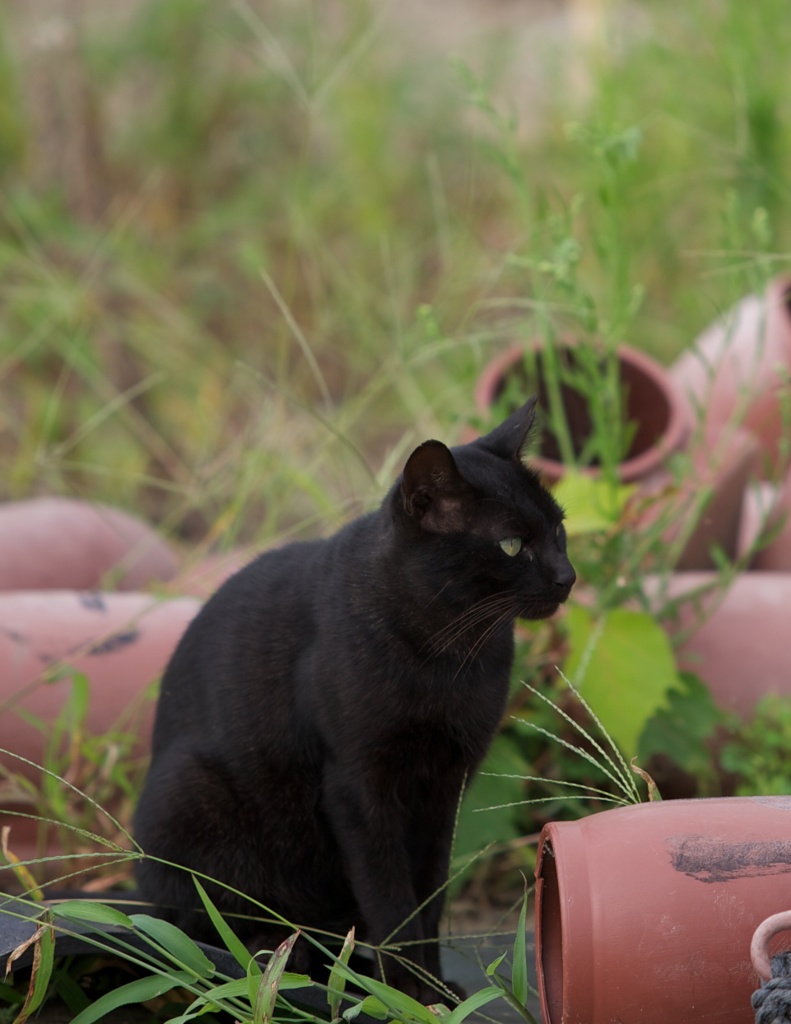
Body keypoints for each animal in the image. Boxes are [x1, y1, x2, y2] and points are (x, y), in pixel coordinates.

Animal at [134, 397, 573, 999]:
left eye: (560, 528)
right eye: (511, 544)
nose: (568, 576)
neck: (448, 658)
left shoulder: (446, 786)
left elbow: (428, 893)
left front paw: (431, 990)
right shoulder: (359, 786)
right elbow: (390, 896)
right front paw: (408, 994)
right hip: (190, 792)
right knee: (197, 930)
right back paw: (280, 959)